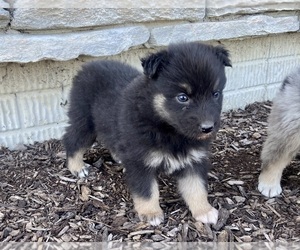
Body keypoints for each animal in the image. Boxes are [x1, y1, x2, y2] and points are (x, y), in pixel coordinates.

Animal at [63, 42, 231, 226]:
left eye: (216, 94)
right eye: (182, 97)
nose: (208, 128)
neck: (169, 130)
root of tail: (88, 66)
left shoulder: (193, 159)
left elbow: (196, 187)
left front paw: (204, 210)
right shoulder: (140, 160)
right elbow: (147, 190)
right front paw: (151, 213)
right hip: (84, 121)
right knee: (72, 140)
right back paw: (77, 167)